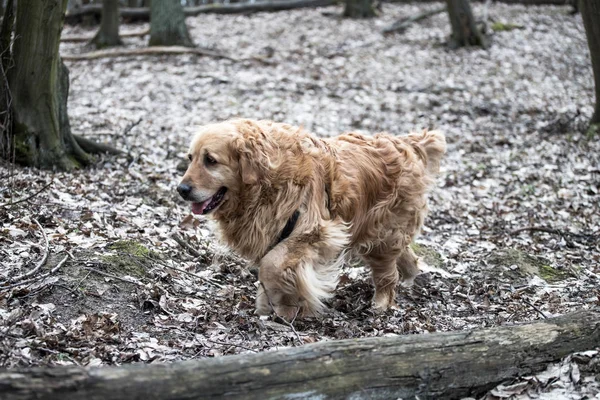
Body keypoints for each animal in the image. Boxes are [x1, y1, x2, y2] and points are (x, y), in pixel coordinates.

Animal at [178, 119, 446, 318]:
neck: (270, 179)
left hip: (382, 232)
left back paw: (381, 302)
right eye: (191, 158)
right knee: (405, 255)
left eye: (210, 160)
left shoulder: (317, 231)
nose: (181, 189)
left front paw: (287, 305)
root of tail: (403, 143)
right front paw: (275, 303)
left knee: (386, 273)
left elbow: (271, 265)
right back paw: (412, 274)